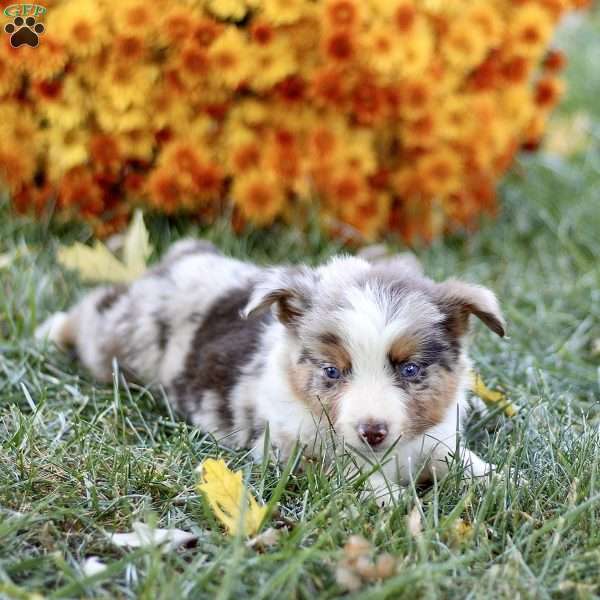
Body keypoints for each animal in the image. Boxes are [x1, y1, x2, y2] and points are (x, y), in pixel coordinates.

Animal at [36, 237, 506, 504]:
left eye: (409, 369)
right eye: (332, 372)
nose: (373, 432)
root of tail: (183, 257)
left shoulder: (437, 442)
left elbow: (467, 464)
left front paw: (505, 482)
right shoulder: (294, 452)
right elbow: (352, 476)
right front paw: (393, 502)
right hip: (116, 342)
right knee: (94, 308)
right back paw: (50, 330)